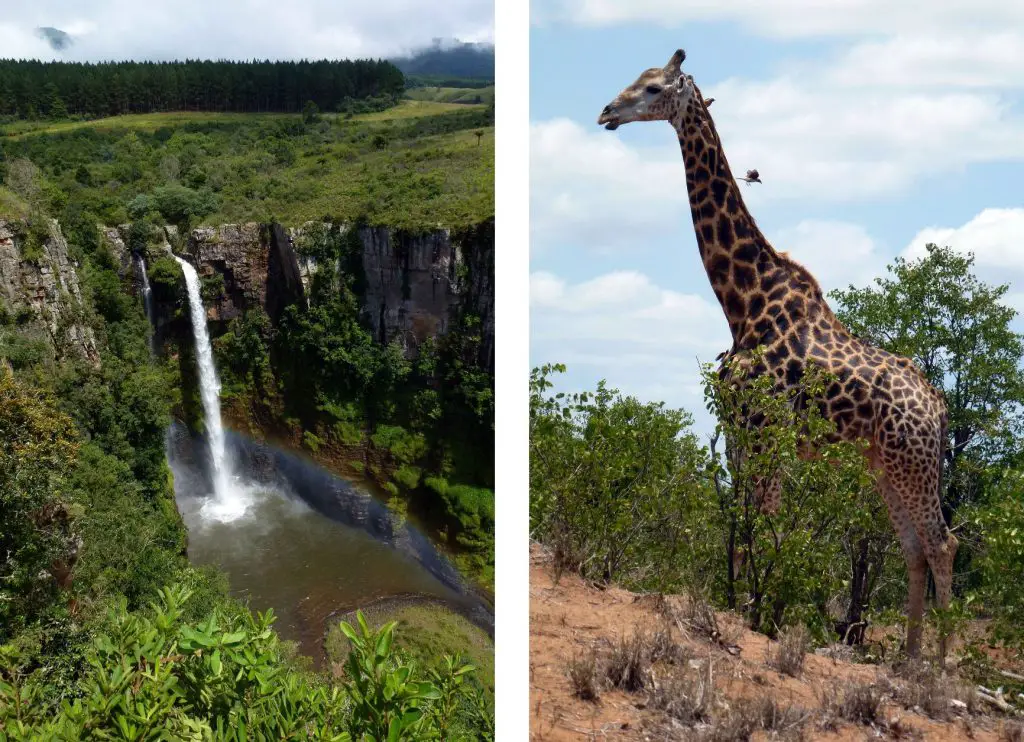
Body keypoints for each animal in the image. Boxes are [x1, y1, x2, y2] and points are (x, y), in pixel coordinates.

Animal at [598, 49, 958, 655]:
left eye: (652, 88)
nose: (606, 113)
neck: (740, 301)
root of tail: (938, 409)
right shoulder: (739, 428)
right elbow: (742, 527)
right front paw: (735, 606)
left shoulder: (768, 428)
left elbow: (765, 528)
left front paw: (758, 616)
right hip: (888, 463)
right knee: (913, 546)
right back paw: (907, 659)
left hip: (912, 461)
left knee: (942, 543)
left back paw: (942, 663)